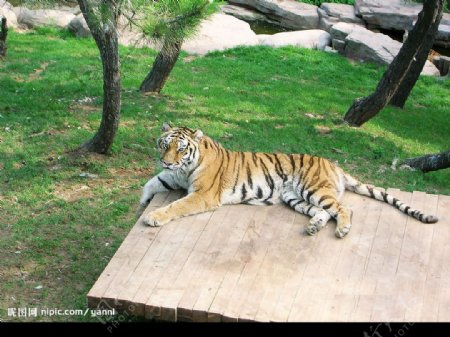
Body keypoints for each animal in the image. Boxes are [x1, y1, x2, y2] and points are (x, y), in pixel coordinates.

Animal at [139, 122, 438, 238]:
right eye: (164, 145)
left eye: (180, 148)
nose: (167, 160)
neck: (184, 168)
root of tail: (334, 165)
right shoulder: (171, 177)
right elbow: (151, 183)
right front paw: (143, 203)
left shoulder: (202, 194)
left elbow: (176, 205)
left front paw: (153, 216)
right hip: (295, 197)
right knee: (323, 212)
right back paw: (314, 228)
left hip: (313, 189)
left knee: (344, 208)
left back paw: (342, 230)